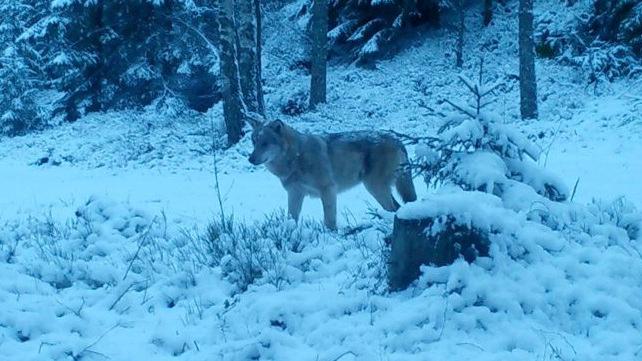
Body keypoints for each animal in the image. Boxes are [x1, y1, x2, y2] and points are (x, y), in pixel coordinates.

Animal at [245, 119, 416, 231]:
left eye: (265, 143)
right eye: (254, 142)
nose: (250, 159)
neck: (296, 157)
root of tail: (397, 139)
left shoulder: (328, 189)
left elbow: (329, 219)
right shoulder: (295, 193)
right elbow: (292, 217)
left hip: (375, 188)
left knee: (393, 209)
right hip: (378, 189)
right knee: (397, 208)